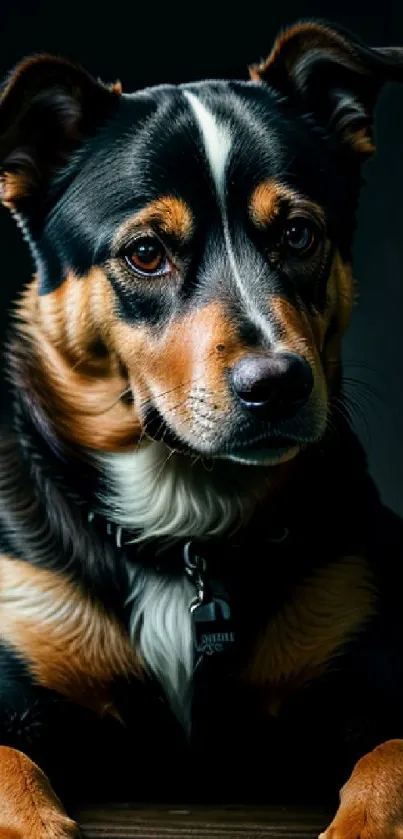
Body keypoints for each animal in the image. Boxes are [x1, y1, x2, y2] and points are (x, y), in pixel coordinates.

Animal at [0, 16, 403, 836]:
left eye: (298, 234)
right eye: (146, 252)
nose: (276, 384)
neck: (181, 523)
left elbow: (388, 763)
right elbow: (10, 768)